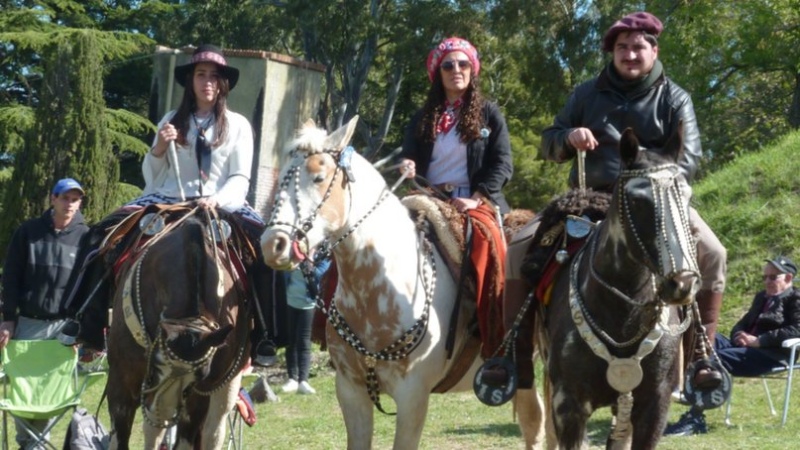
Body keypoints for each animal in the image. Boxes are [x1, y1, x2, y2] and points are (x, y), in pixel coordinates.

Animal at [105, 208, 250, 450]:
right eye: (156, 364)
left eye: (200, 375)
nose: (162, 406)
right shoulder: (121, 383)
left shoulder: (199, 393)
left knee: (212, 430)